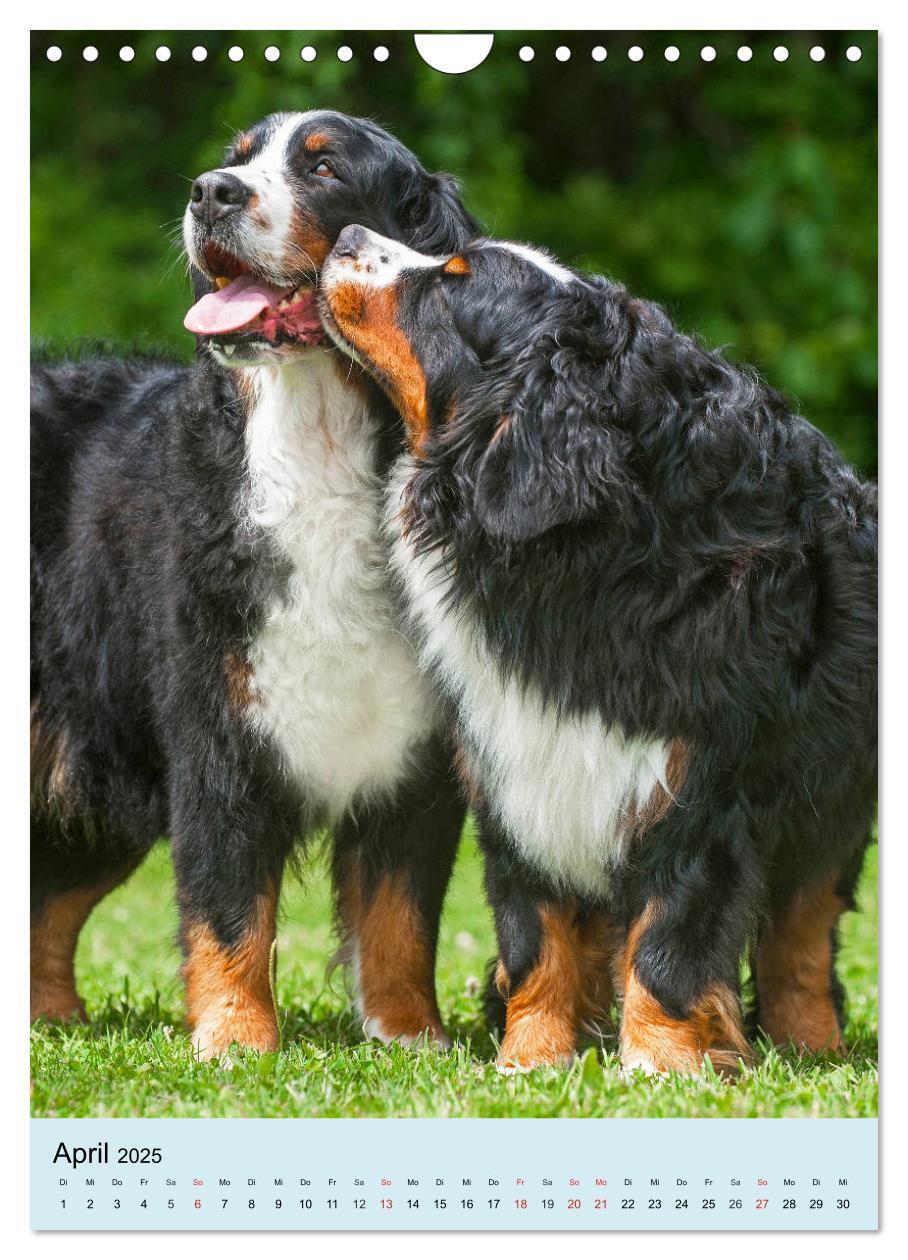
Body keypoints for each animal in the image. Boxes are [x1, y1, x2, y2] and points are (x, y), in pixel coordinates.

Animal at [31, 113, 478, 1058]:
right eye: (234, 160)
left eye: (324, 167)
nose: (211, 193)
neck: (317, 445)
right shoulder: (217, 728)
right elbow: (229, 902)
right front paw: (235, 1038)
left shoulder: (417, 753)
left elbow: (400, 916)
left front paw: (408, 1035)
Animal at [321, 226, 876, 1073]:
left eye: (450, 283)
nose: (348, 234)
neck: (586, 558)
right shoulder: (519, 767)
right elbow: (535, 936)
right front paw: (530, 1058)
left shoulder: (698, 785)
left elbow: (669, 940)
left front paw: (660, 1064)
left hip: (830, 795)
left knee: (803, 935)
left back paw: (808, 1041)